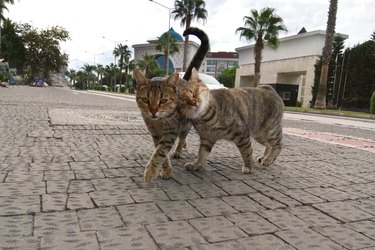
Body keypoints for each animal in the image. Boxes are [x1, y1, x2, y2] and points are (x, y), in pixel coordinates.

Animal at [136, 27, 212, 183]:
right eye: (145, 100)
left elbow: (160, 152)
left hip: (185, 124)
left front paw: (151, 171)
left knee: (182, 137)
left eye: (163, 100)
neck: (157, 123)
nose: (153, 111)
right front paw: (165, 170)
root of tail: (184, 80)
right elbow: (161, 152)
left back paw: (178, 149)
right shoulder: (155, 134)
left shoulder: (170, 132)